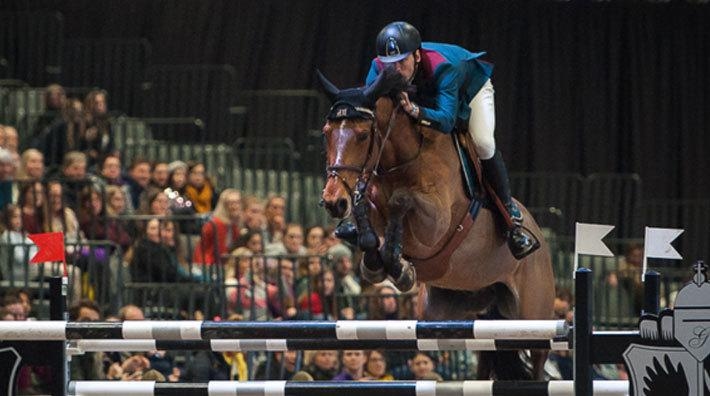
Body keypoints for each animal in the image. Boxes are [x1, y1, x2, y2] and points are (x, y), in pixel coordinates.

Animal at [320, 69, 560, 380]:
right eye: (326, 133)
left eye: (362, 136)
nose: (333, 202)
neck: (401, 161)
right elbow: (366, 208)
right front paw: (377, 261)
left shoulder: (435, 222)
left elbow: (401, 199)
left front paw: (398, 265)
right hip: (454, 312)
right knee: (486, 355)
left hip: (534, 317)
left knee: (539, 358)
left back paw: (519, 236)